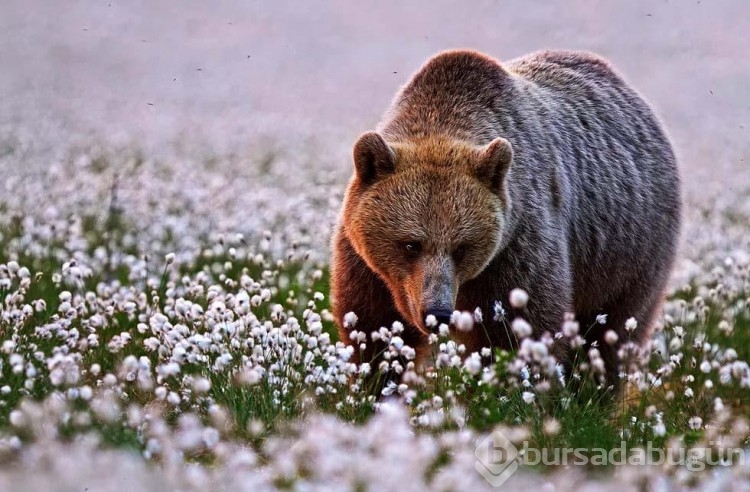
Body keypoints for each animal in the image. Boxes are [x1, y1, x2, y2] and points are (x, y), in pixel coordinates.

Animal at [332, 49, 684, 388]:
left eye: (462, 247)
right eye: (410, 244)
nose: (438, 313)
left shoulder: (516, 249)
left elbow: (519, 331)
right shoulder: (368, 265)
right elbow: (372, 327)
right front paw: (375, 387)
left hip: (628, 253)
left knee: (611, 334)